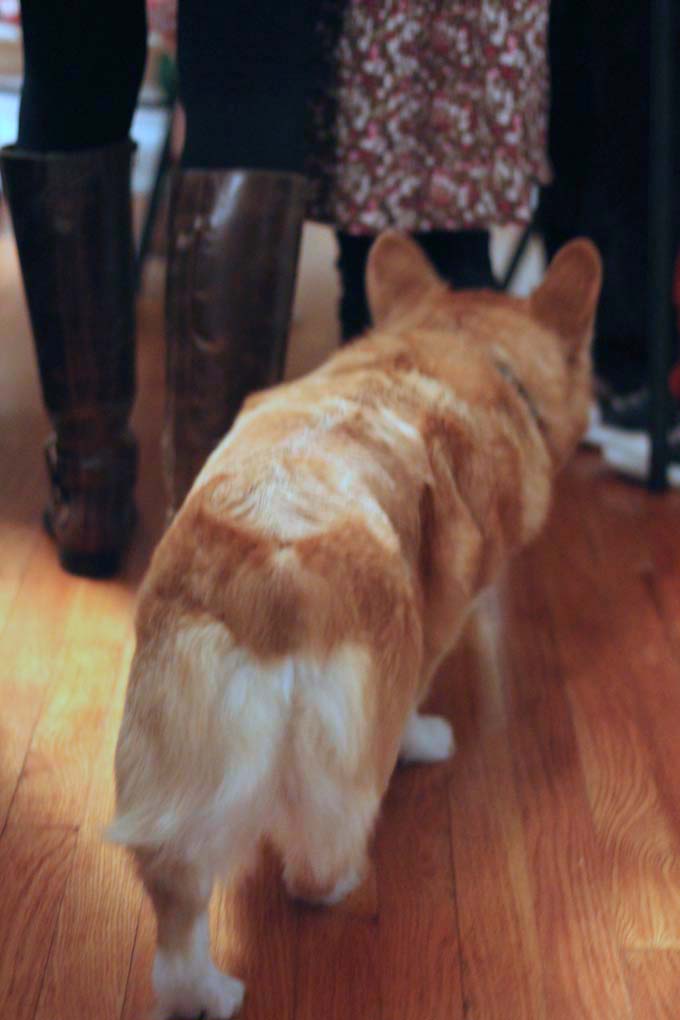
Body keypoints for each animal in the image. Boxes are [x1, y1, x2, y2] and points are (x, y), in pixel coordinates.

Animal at [110, 231, 599, 1020]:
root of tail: (272, 571)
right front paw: (428, 739)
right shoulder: (435, 626)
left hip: (172, 749)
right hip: (347, 745)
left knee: (178, 899)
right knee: (315, 860)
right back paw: (344, 876)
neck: (459, 339)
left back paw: (203, 993)